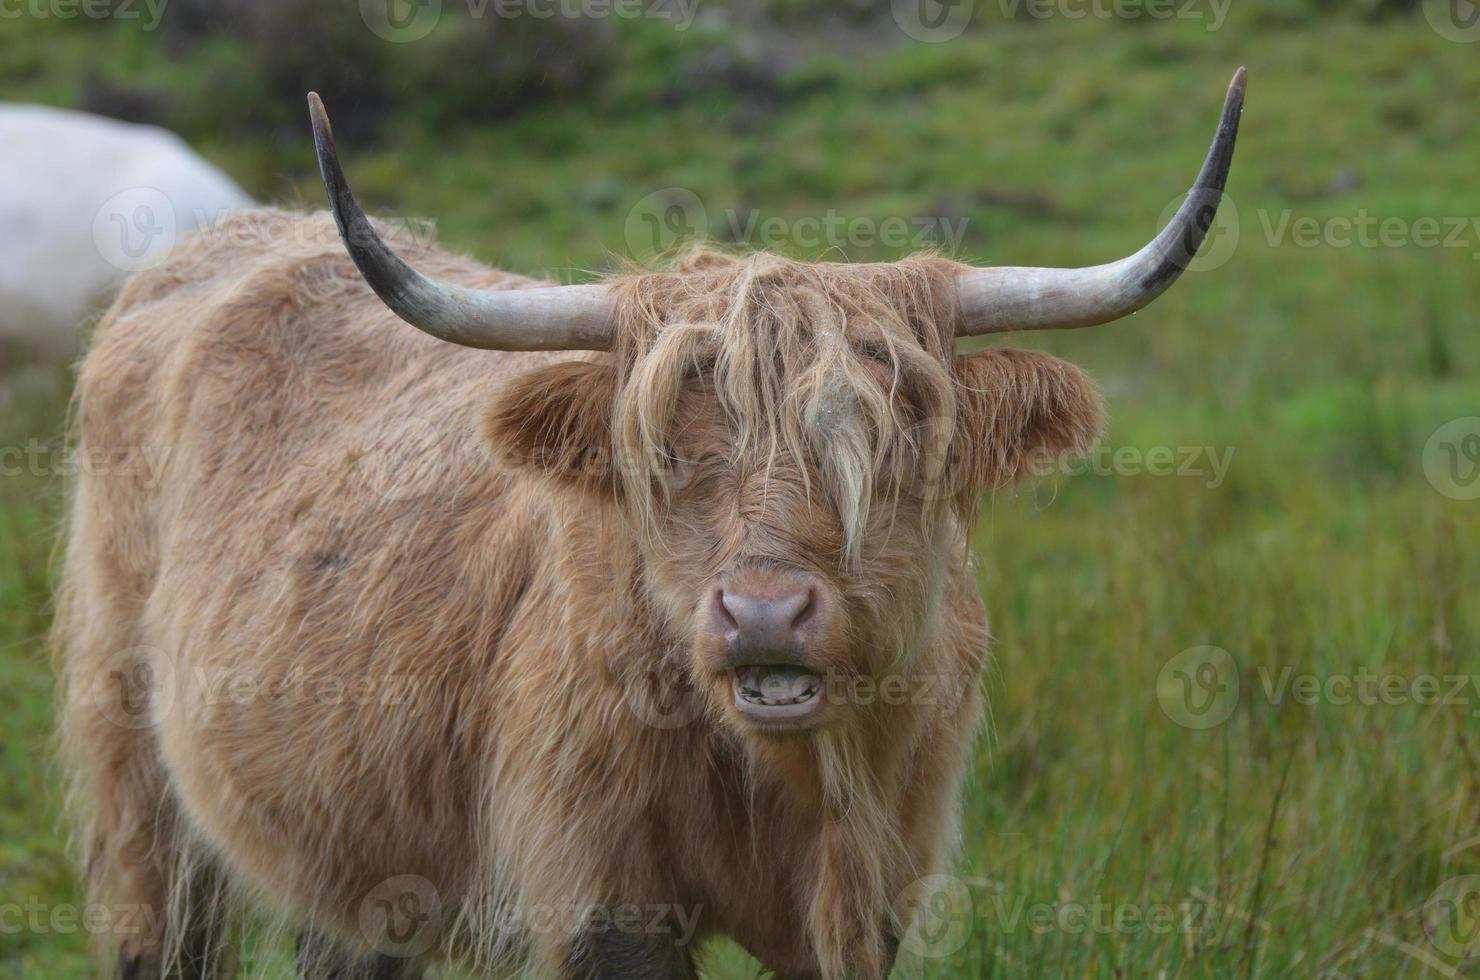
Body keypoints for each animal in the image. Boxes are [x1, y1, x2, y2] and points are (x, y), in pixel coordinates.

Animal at [54, 71, 1237, 980]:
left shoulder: (880, 888)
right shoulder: (603, 897)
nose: (764, 615)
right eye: (664, 453)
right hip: (138, 789)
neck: (787, 781)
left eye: (888, 441)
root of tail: (237, 235)